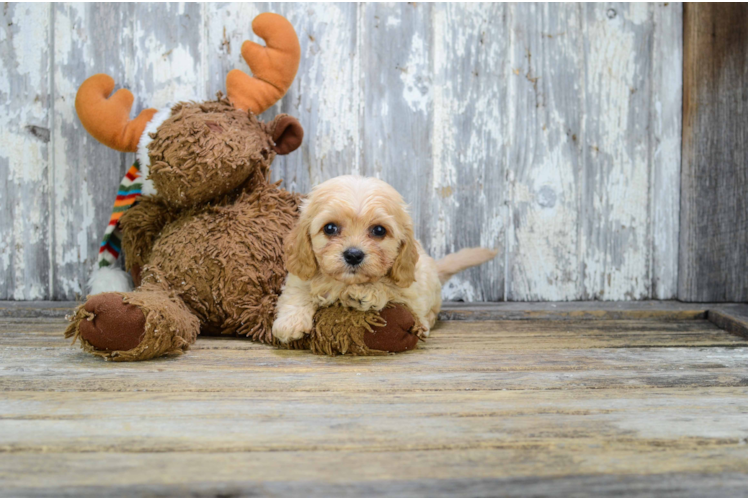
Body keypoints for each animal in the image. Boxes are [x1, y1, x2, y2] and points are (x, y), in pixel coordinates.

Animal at [274, 174, 496, 342]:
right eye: (330, 228)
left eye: (379, 230)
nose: (353, 255)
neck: (345, 282)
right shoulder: (300, 275)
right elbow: (298, 293)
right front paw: (289, 323)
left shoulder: (410, 288)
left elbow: (388, 287)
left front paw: (364, 293)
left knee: (430, 313)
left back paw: (423, 325)